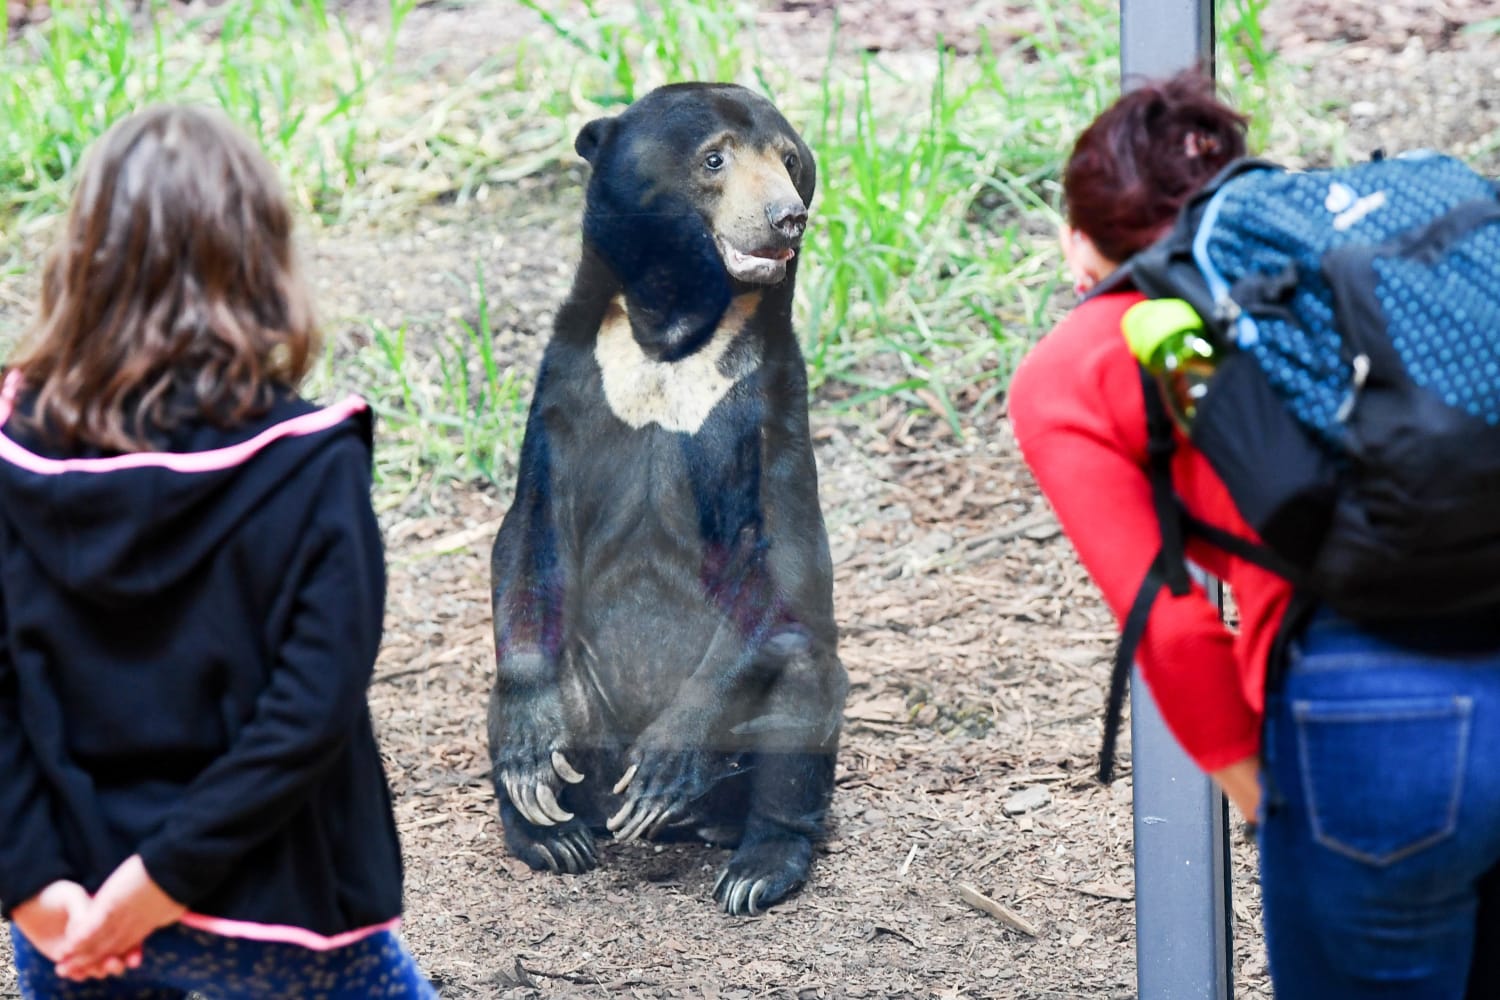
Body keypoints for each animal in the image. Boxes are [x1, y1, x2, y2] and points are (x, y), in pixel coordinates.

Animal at [489, 83, 852, 917]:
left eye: (789, 160)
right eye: (714, 159)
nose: (787, 217)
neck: (674, 335)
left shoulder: (770, 407)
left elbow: (783, 558)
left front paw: (665, 763)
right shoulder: (566, 386)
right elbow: (528, 531)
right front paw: (529, 760)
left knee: (802, 678)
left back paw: (753, 862)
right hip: (583, 696)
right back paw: (552, 835)